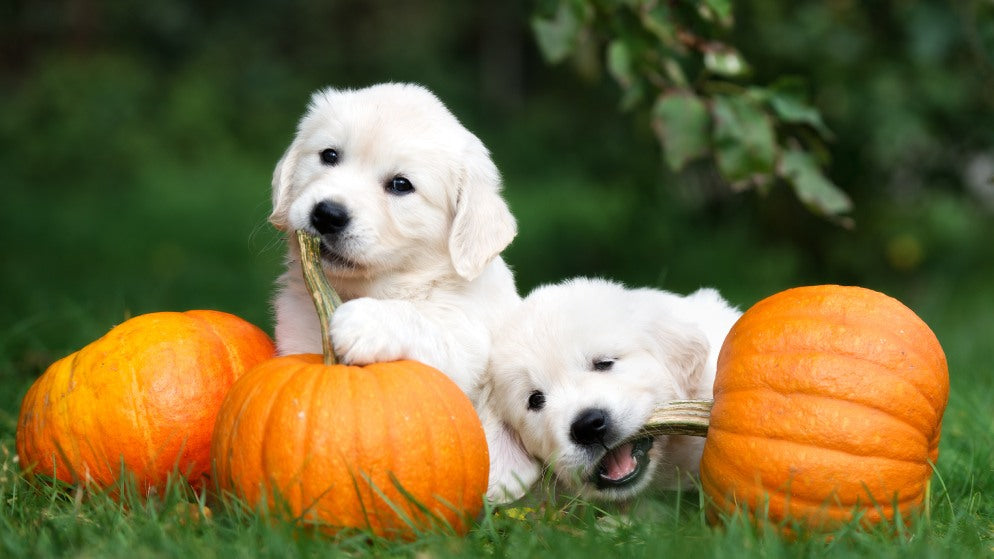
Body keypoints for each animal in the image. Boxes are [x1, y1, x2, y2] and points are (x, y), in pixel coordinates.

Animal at [272, 82, 520, 402]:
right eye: (329, 155)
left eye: (401, 185)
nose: (327, 215)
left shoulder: (469, 347)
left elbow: (426, 323)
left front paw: (365, 321)